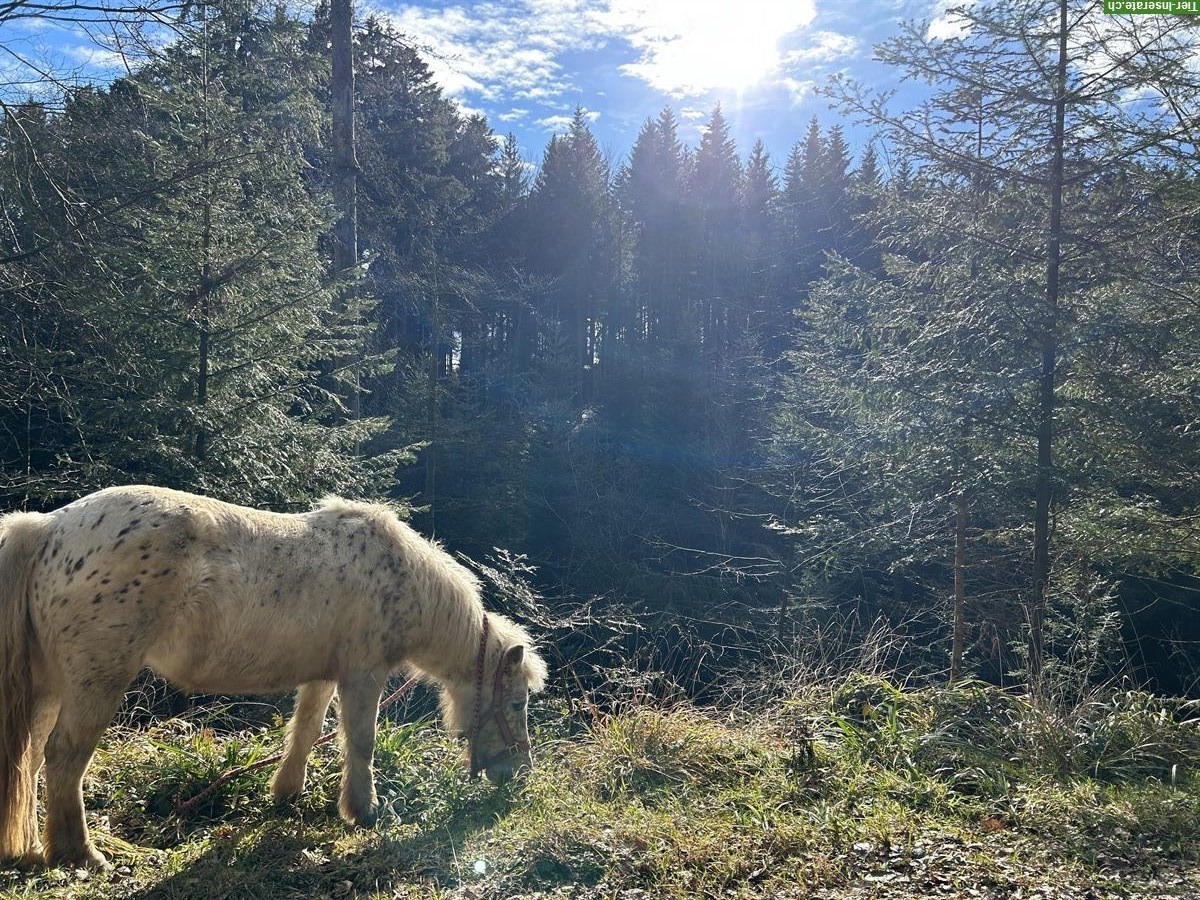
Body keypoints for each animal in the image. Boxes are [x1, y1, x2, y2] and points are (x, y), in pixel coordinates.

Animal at [0, 487, 544, 873]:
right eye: (518, 703)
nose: (518, 772)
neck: (398, 575)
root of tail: (50, 527)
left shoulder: (323, 676)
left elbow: (305, 732)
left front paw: (285, 794)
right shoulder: (362, 674)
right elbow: (360, 741)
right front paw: (363, 811)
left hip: (50, 687)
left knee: (31, 759)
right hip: (98, 679)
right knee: (64, 757)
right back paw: (79, 855)